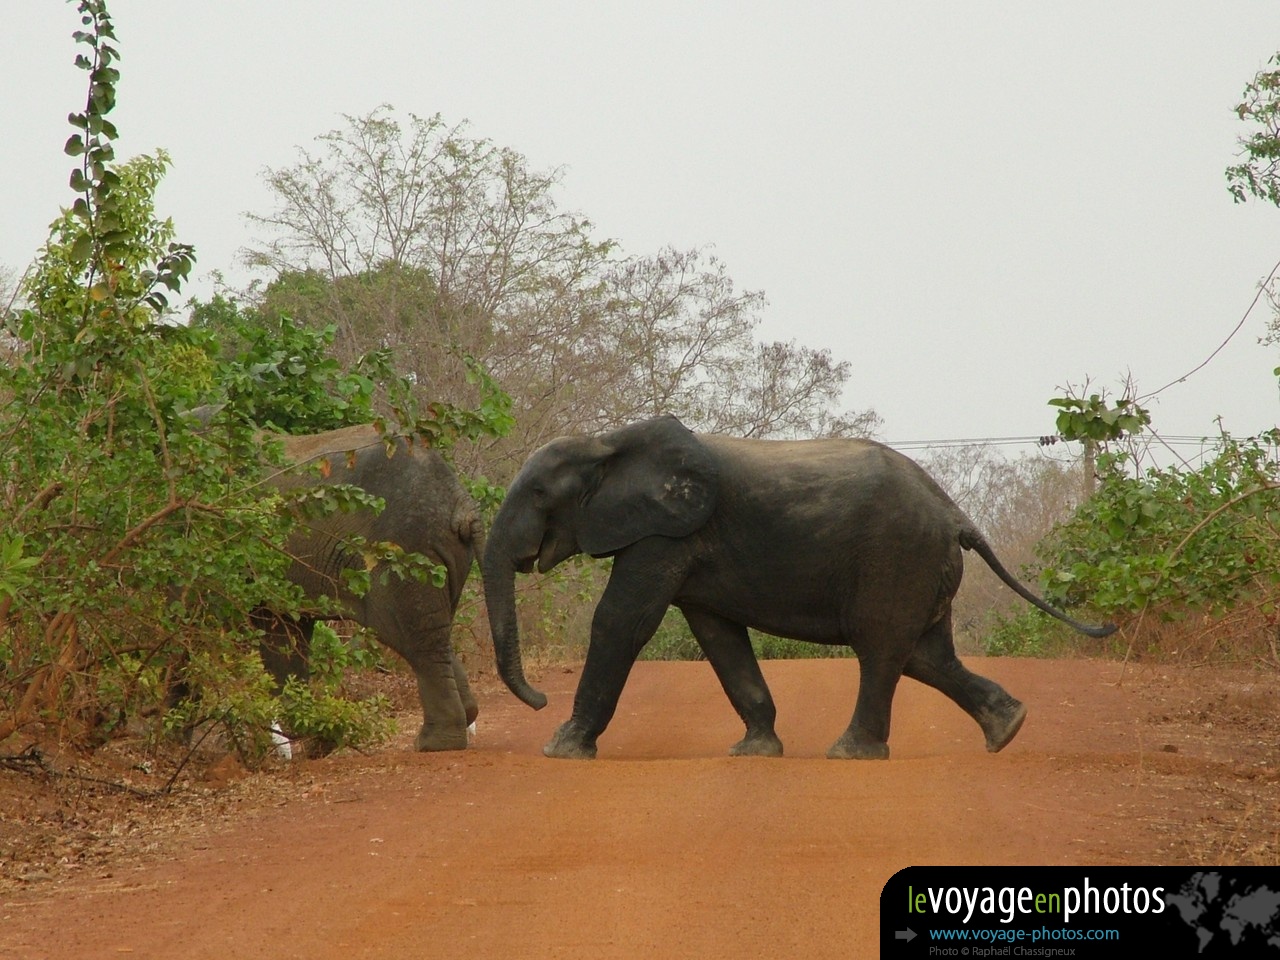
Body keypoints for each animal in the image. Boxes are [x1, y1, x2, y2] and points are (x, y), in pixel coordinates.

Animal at [259, 424, 483, 757]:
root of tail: (461, 502)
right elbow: (284, 636)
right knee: (434, 635)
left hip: (405, 553)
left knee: (414, 638)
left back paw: (433, 744)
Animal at [483, 417, 1116, 762]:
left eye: (539, 494)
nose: (538, 699)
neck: (606, 442)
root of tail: (957, 515)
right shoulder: (681, 543)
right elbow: (718, 634)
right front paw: (754, 752)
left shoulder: (664, 535)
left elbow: (621, 620)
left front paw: (561, 749)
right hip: (921, 565)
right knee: (925, 656)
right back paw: (1008, 730)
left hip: (897, 558)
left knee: (882, 646)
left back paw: (852, 753)